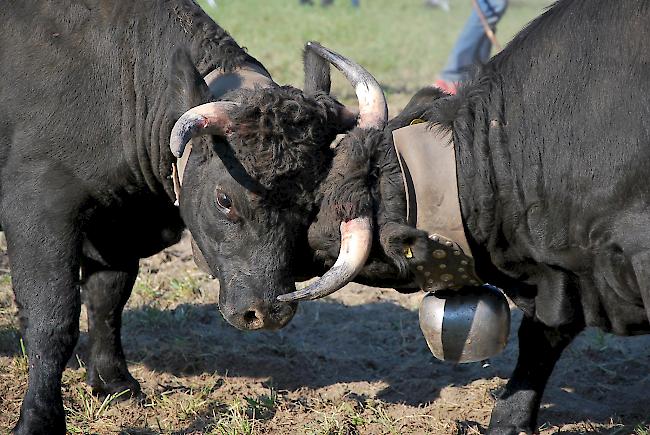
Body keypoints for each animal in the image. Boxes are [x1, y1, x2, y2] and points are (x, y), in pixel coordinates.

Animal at [1, 0, 648, 435]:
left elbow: (108, 297)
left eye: (307, 202)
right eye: (225, 199)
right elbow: (54, 321)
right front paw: (40, 420)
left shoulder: (120, 229)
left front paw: (115, 384)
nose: (267, 311)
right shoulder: (39, 210)